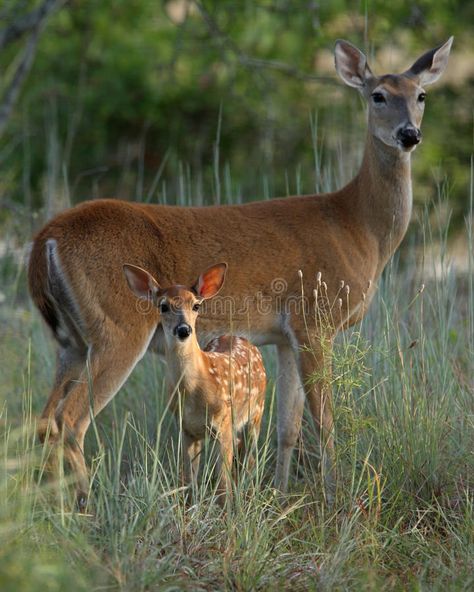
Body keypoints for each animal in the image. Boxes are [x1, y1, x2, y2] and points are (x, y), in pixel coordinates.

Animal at [122, 260, 266, 500]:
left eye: (196, 305)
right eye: (163, 306)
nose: (183, 329)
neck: (194, 391)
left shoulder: (223, 422)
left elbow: (222, 485)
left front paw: (228, 508)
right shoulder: (186, 428)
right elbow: (189, 482)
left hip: (257, 410)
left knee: (250, 455)